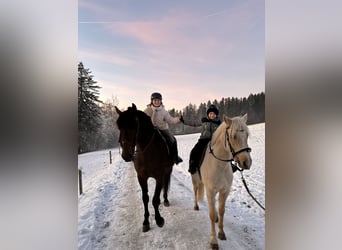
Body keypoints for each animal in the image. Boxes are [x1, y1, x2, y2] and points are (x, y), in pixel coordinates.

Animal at [115, 103, 174, 232]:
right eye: (118, 127)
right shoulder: (141, 177)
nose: (126, 155)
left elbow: (155, 199)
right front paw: (146, 222)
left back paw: (166, 200)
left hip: (168, 171)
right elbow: (145, 198)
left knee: (166, 185)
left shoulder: (159, 177)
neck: (147, 150)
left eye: (133, 125)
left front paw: (159, 220)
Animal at [191, 114, 252, 249]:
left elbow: (221, 211)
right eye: (233, 136)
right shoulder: (210, 191)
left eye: (246, 135)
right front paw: (214, 241)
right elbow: (212, 214)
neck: (219, 164)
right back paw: (196, 206)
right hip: (196, 180)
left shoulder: (224, 191)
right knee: (196, 191)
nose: (247, 163)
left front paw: (221, 233)